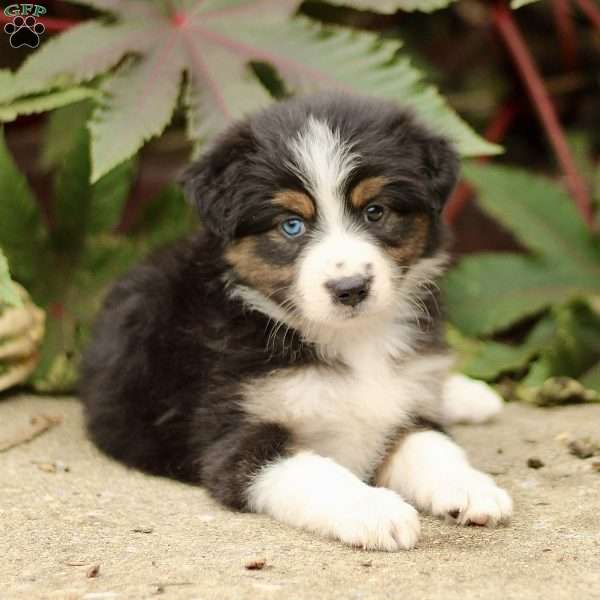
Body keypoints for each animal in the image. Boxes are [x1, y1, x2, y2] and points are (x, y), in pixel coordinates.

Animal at [78, 91, 510, 552]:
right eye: (291, 225)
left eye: (375, 211)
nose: (350, 288)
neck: (352, 341)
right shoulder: (236, 439)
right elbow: (317, 473)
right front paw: (375, 509)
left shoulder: (408, 408)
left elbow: (432, 445)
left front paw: (471, 487)